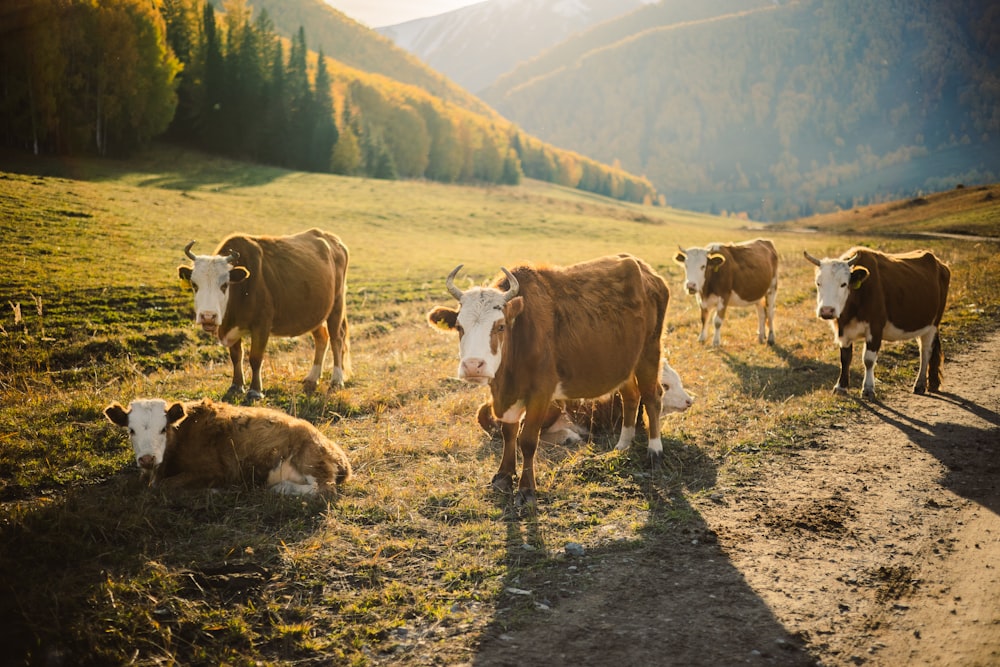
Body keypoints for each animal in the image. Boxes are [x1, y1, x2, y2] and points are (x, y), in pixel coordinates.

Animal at [178, 227, 350, 402]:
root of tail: (333, 239)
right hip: (316, 313)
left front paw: (255, 390)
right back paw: (312, 377)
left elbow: (255, 358)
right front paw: (236, 386)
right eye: (194, 285)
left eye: (225, 285)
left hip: (337, 304)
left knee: (336, 339)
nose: (208, 316)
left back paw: (337, 380)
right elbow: (236, 356)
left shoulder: (262, 325)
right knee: (322, 338)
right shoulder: (233, 327)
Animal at [426, 254, 668, 506]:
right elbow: (508, 432)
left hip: (649, 351)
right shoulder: (507, 395)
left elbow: (527, 439)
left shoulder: (541, 393)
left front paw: (526, 489)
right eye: (459, 327)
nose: (473, 365)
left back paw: (655, 452)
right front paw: (504, 475)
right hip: (625, 363)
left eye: (500, 326)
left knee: (652, 397)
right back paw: (623, 445)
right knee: (631, 396)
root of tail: (644, 269)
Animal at [800, 247, 948, 400]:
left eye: (843, 284)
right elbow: (845, 358)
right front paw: (841, 387)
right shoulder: (843, 330)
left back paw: (920, 384)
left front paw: (868, 388)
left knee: (926, 351)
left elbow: (868, 359)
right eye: (818, 283)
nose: (827, 310)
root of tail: (939, 263)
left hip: (933, 324)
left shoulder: (875, 328)